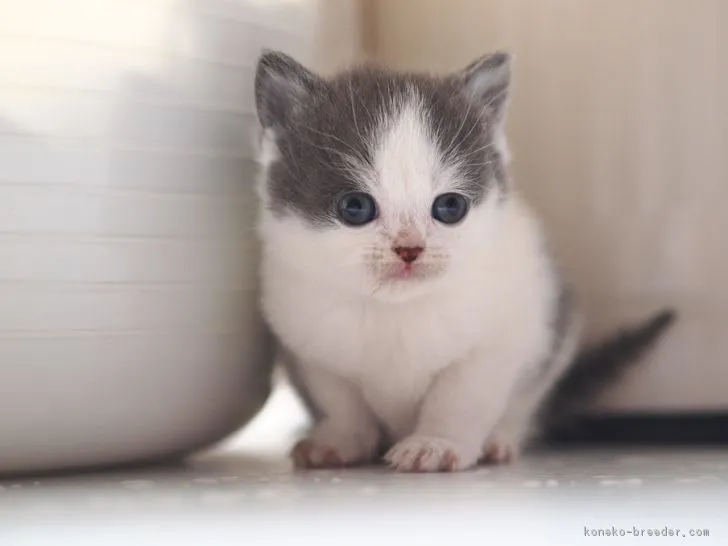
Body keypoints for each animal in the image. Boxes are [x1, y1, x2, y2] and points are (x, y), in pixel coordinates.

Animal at [252, 49, 676, 470]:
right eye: (355, 207)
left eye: (450, 207)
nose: (410, 248)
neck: (397, 311)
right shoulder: (309, 344)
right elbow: (342, 402)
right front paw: (341, 441)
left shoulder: (504, 336)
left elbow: (460, 398)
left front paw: (437, 443)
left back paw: (500, 441)